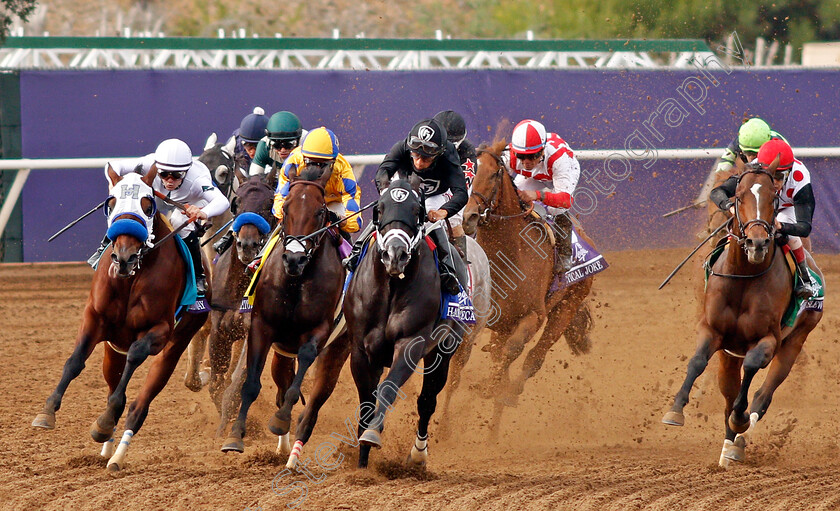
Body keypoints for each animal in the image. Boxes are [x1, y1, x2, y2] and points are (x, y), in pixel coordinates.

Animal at [33, 168, 209, 472]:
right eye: (112, 202)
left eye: (148, 205)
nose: (123, 256)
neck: (131, 277)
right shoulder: (95, 318)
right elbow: (74, 361)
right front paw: (47, 411)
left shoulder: (160, 329)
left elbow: (137, 355)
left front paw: (104, 421)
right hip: (113, 349)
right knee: (114, 381)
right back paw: (108, 445)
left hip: (175, 344)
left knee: (140, 403)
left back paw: (117, 454)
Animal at [220, 166, 352, 470]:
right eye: (285, 207)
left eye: (320, 211)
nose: (294, 259)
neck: (295, 281)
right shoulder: (262, 326)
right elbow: (250, 384)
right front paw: (234, 436)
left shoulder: (318, 332)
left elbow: (297, 383)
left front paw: (280, 421)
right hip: (282, 352)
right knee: (281, 384)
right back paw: (283, 447)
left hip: (339, 349)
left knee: (313, 400)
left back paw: (293, 452)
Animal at [344, 179, 492, 468]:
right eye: (380, 208)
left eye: (417, 210)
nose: (395, 255)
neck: (392, 285)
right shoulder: (360, 349)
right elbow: (367, 402)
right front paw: (361, 462)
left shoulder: (411, 343)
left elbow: (390, 388)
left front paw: (373, 434)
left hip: (446, 349)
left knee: (427, 400)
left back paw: (418, 454)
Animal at [460, 140, 596, 420]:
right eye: (467, 173)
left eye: (493, 174)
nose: (469, 217)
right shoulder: (491, 319)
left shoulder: (534, 315)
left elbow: (513, 350)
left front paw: (492, 387)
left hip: (566, 306)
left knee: (535, 357)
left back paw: (511, 392)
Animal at [668, 161, 824, 468]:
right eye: (738, 197)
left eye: (774, 198)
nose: (757, 243)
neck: (744, 278)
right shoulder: (712, 329)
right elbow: (697, 361)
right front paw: (676, 410)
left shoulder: (769, 339)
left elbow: (752, 368)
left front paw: (740, 421)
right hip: (729, 355)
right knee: (729, 392)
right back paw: (728, 447)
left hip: (796, 339)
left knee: (763, 396)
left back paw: (739, 440)